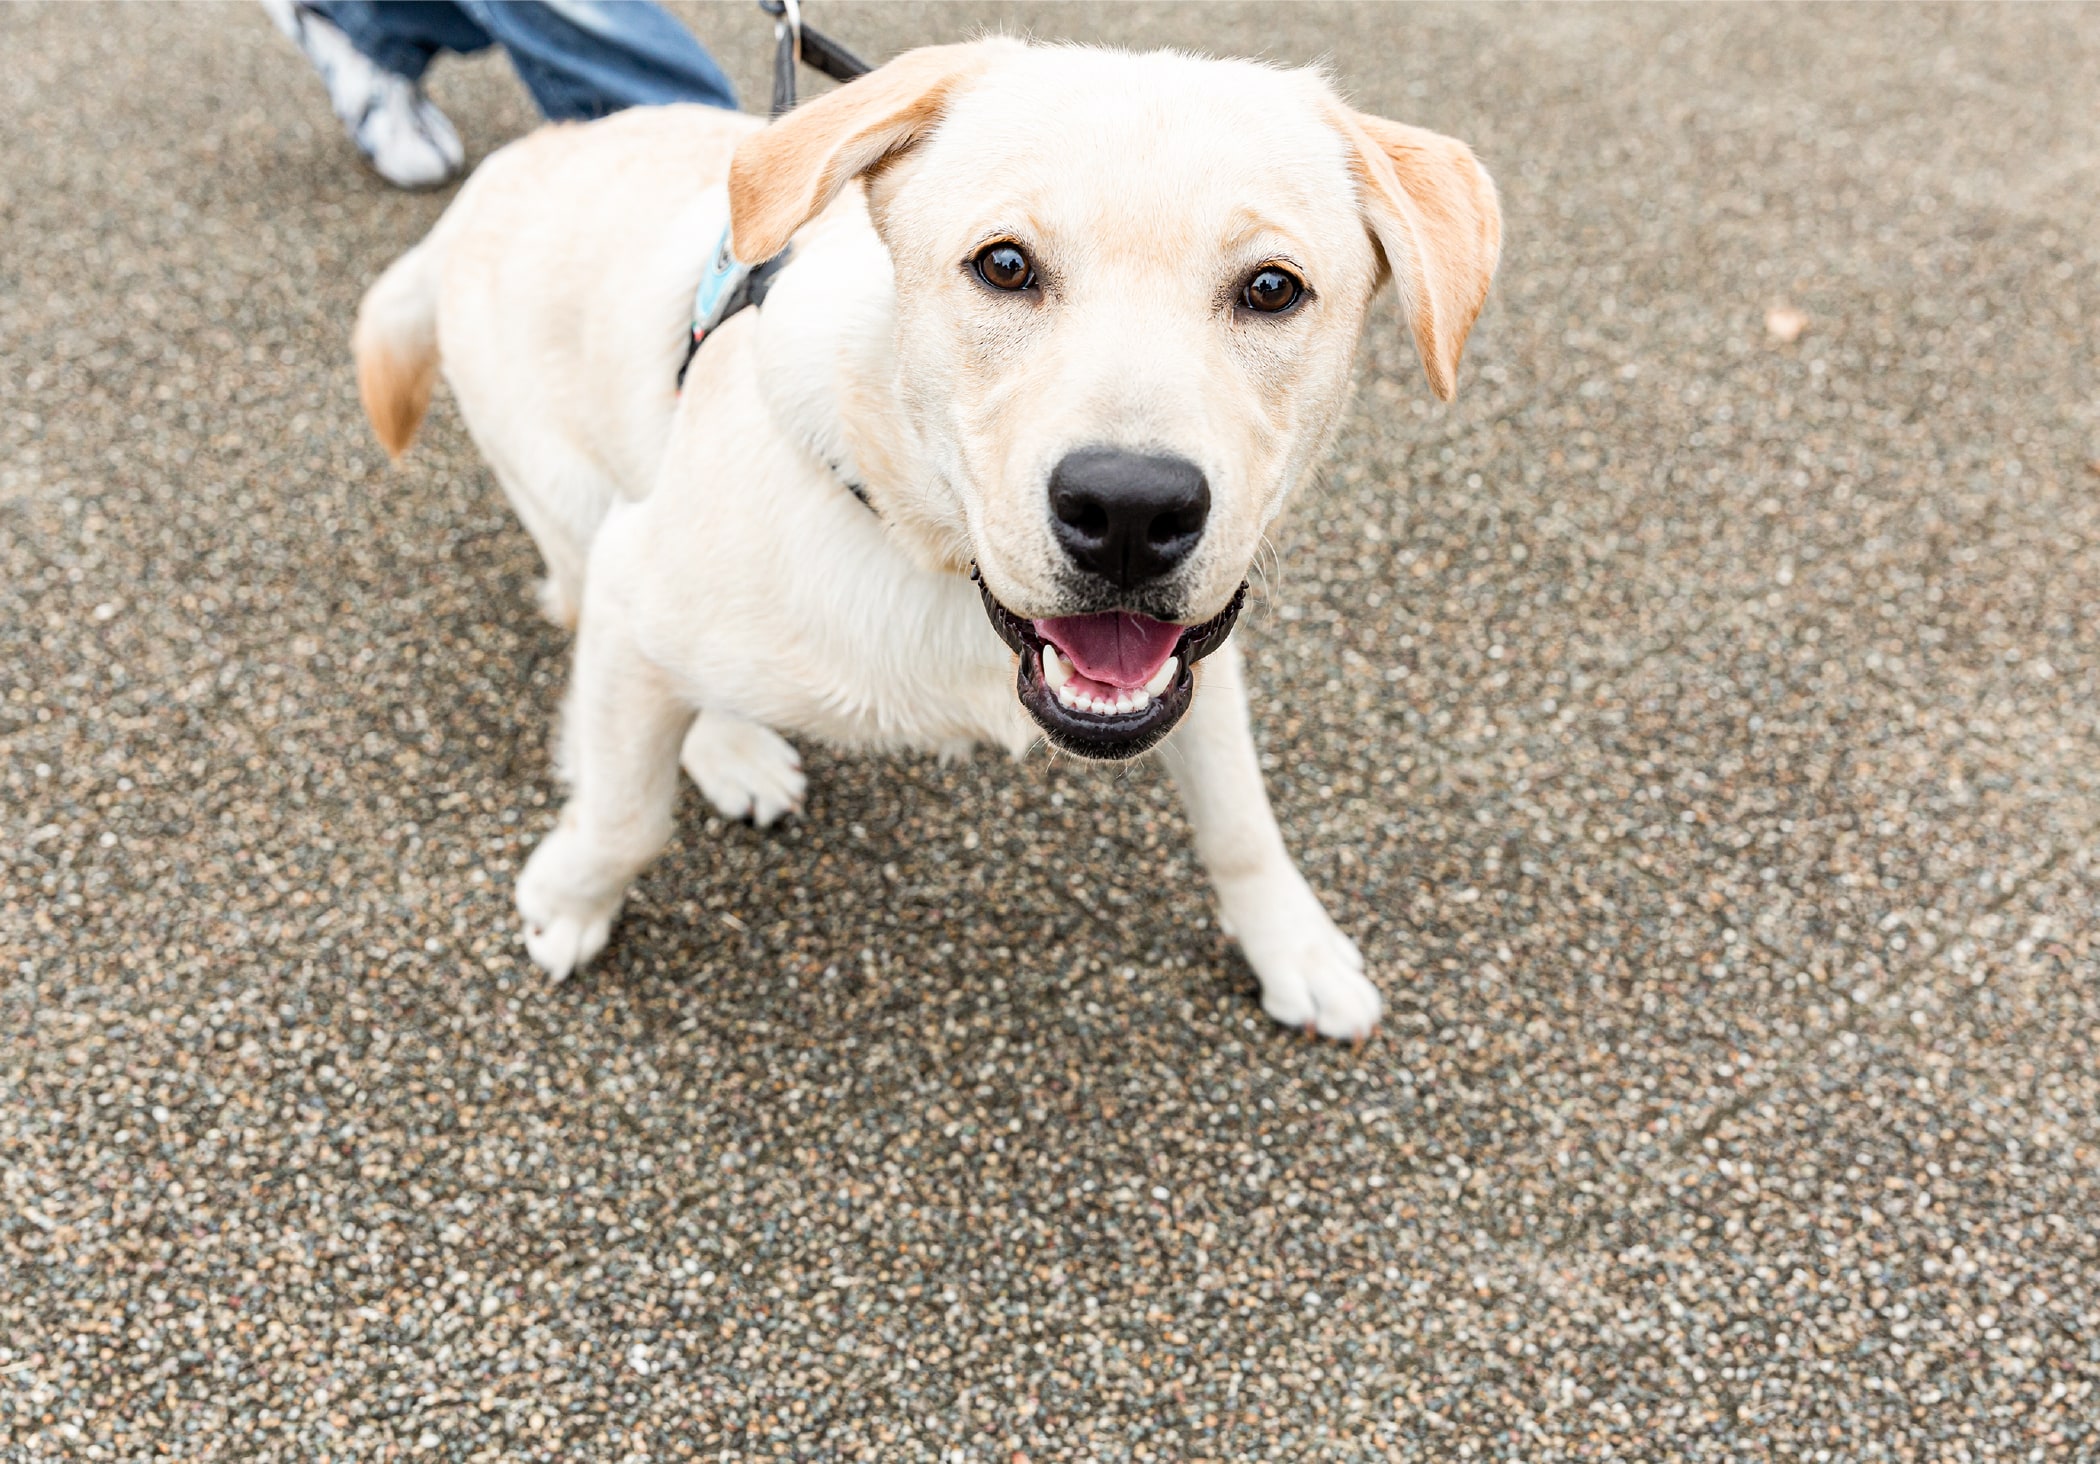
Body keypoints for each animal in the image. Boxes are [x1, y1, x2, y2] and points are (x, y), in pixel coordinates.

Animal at [356, 37, 1495, 1037]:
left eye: (1271, 288)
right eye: (1005, 266)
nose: (1130, 512)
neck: (921, 539)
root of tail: (489, 184)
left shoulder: (1196, 656)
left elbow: (1242, 817)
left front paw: (1293, 945)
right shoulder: (642, 582)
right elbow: (624, 816)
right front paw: (569, 899)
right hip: (571, 497)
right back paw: (728, 745)